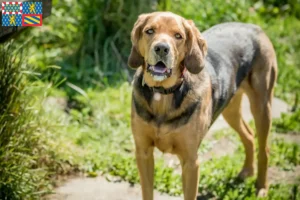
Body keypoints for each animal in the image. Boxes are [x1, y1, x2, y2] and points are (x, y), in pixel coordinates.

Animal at [127, 11, 278, 199]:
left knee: (265, 149)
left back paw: (261, 187)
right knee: (249, 135)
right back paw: (247, 171)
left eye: (178, 36)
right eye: (150, 31)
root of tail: (254, 26)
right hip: (230, 109)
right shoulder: (143, 153)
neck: (163, 93)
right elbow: (147, 192)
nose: (161, 48)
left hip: (262, 106)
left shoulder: (191, 162)